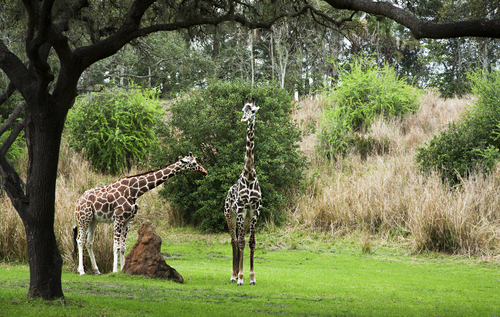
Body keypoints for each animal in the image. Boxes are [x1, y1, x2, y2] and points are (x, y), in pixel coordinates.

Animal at [72, 151, 207, 274]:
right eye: (194, 163)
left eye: (198, 160)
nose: (205, 172)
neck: (134, 191)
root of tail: (77, 202)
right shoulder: (118, 217)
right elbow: (116, 246)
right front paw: (115, 271)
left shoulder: (128, 220)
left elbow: (123, 247)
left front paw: (123, 270)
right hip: (84, 218)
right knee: (80, 240)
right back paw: (81, 271)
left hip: (93, 220)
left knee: (89, 242)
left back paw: (96, 270)